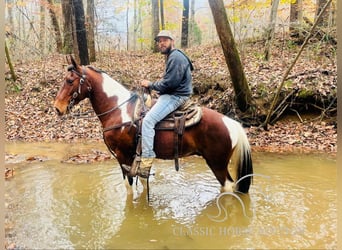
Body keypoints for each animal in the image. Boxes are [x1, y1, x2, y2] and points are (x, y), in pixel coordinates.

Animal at [52, 55, 252, 194]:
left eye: (70, 80)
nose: (57, 108)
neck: (118, 110)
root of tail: (232, 123)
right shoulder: (135, 159)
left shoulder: (123, 156)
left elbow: (129, 188)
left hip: (217, 163)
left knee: (228, 186)